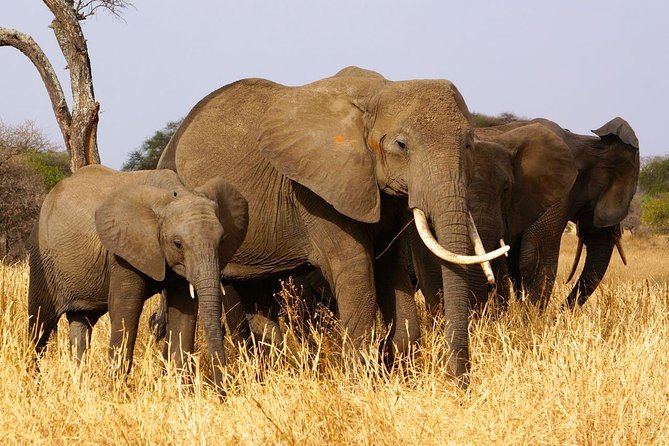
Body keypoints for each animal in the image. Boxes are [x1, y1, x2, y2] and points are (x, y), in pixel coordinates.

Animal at [27, 164, 248, 391]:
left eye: (222, 241)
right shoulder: (121, 251)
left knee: (81, 323)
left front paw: (180, 392)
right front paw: (116, 392)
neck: (173, 194)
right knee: (39, 325)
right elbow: (126, 309)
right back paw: (33, 385)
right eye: (177, 244)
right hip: (43, 257)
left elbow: (184, 312)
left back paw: (79, 387)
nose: (222, 392)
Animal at [156, 66, 508, 384]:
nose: (459, 384)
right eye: (401, 145)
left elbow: (388, 269)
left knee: (257, 293)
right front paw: (360, 387)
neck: (378, 93)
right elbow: (355, 272)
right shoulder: (317, 193)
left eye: (468, 144)